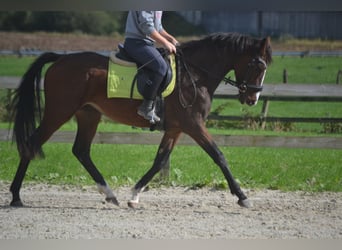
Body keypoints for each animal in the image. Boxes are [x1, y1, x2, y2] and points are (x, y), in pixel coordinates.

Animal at [9, 33, 272, 209]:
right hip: (59, 111)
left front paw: (134, 195)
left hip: (88, 114)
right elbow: (218, 155)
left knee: (81, 150)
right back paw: (16, 196)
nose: (252, 98)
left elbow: (160, 160)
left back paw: (110, 194)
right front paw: (242, 197)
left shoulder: (176, 128)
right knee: (32, 143)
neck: (195, 76)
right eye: (258, 66)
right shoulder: (193, 124)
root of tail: (59, 60)